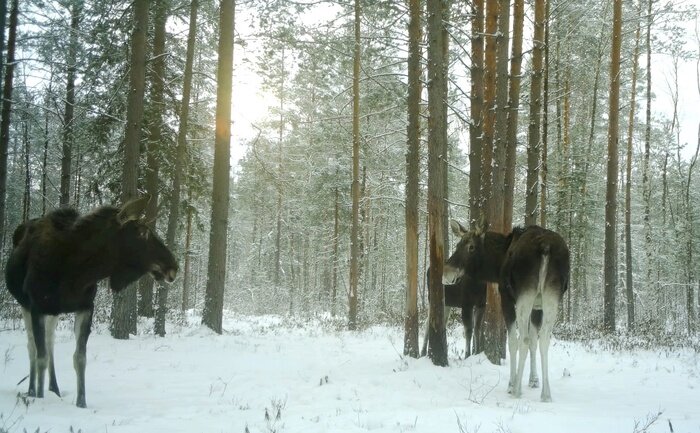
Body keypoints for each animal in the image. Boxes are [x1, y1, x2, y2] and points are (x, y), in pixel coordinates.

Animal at [4, 197, 179, 406]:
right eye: (142, 232)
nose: (174, 266)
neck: (77, 273)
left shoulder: (86, 307)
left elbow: (79, 358)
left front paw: (81, 403)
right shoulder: (37, 306)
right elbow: (41, 358)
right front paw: (39, 397)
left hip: (54, 312)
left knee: (50, 342)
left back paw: (54, 388)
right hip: (25, 305)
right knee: (32, 347)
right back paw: (31, 390)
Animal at [442, 219, 568, 402]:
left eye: (471, 246)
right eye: (458, 244)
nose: (446, 273)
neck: (496, 264)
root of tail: (545, 247)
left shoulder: (506, 299)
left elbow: (513, 342)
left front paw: (511, 383)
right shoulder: (538, 306)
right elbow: (535, 340)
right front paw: (534, 380)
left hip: (525, 295)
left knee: (523, 339)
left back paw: (517, 390)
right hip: (552, 296)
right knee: (544, 338)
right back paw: (546, 394)